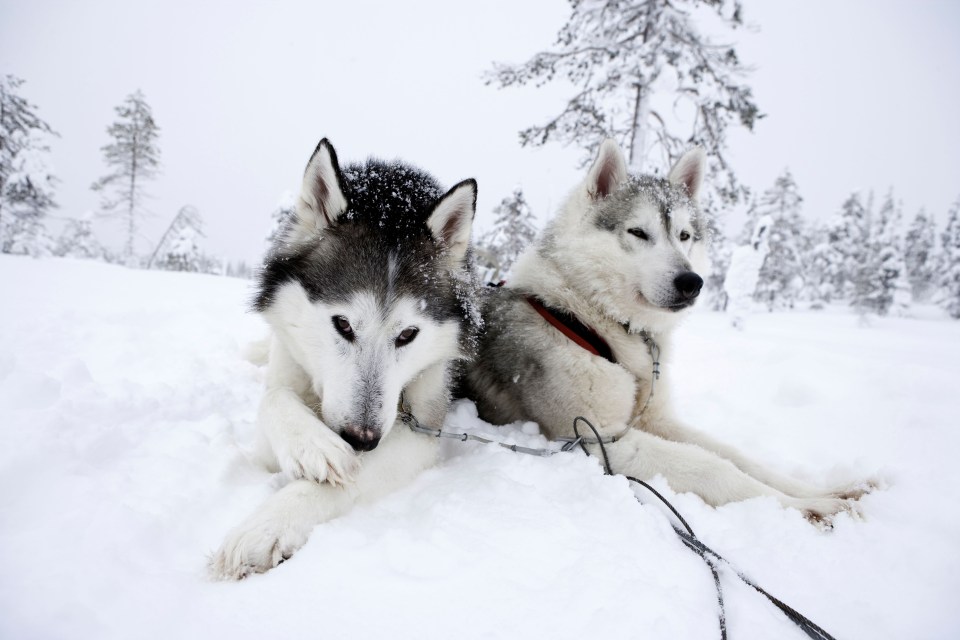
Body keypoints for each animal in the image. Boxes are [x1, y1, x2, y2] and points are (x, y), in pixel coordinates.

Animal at [211, 140, 480, 580]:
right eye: (342, 324)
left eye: (408, 334)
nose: (361, 439)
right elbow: (274, 398)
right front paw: (313, 445)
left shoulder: (421, 431)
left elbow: (347, 480)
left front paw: (268, 525)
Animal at [462, 141, 872, 524]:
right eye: (638, 232)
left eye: (684, 235)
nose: (692, 282)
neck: (596, 318)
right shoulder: (593, 438)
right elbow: (713, 466)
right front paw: (812, 507)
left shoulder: (655, 421)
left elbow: (735, 455)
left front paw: (821, 491)